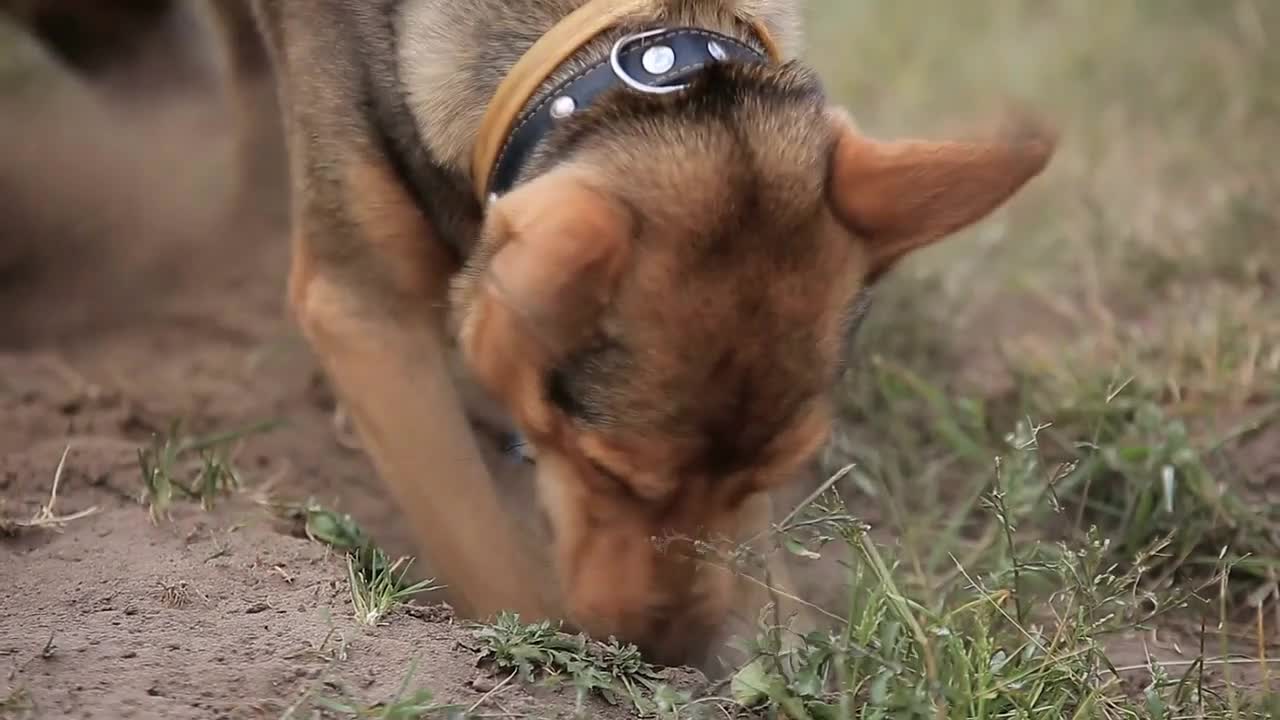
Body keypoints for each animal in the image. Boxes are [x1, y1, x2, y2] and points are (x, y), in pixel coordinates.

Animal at [10, 0, 1054, 666]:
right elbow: (483, 546)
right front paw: (544, 647)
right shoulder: (363, 315)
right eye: (604, 470)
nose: (668, 658)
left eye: (771, 473)